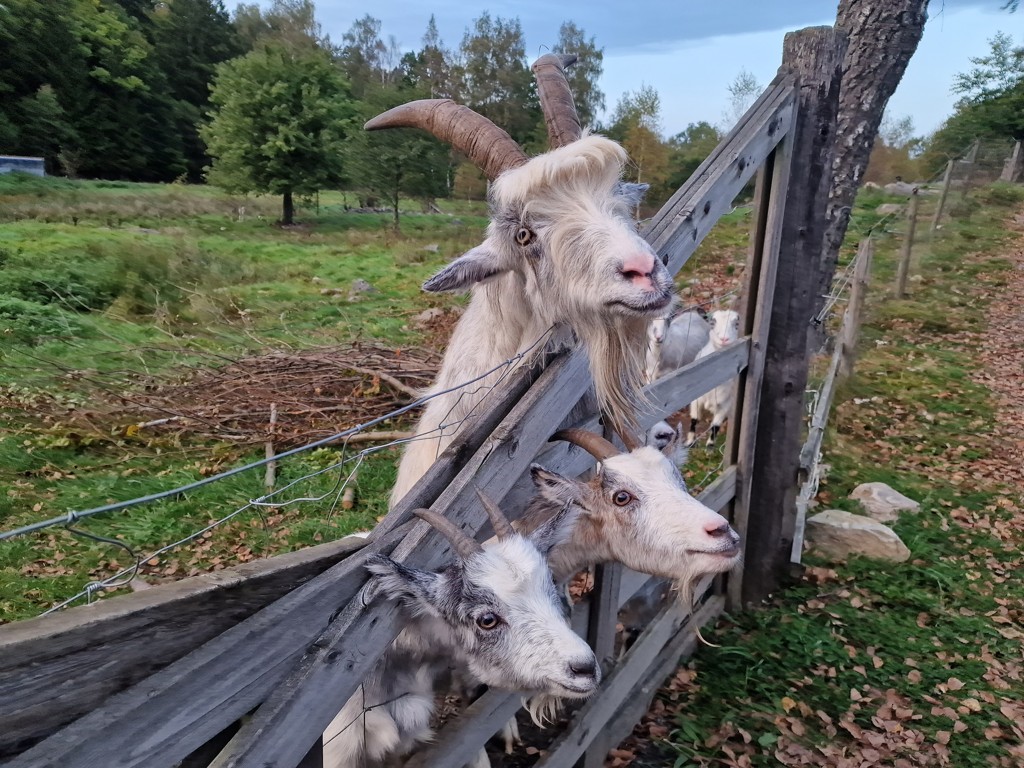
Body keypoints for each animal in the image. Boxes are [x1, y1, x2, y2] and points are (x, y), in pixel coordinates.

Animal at [684, 309, 741, 448]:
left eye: (736, 324)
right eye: (712, 323)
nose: (724, 339)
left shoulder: (726, 404)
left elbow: (715, 426)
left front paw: (710, 445)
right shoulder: (696, 400)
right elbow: (694, 420)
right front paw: (690, 441)